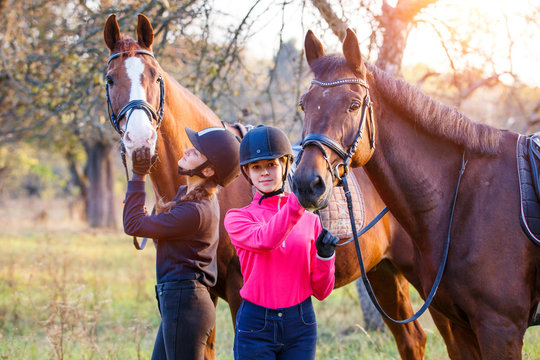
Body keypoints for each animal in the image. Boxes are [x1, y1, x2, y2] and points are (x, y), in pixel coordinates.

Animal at [104, 13, 438, 358]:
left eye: (155, 76)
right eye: (110, 79)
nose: (140, 142)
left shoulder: (239, 290)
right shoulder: (206, 292)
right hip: (383, 271)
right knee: (411, 338)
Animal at [294, 28, 540, 360]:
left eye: (354, 105)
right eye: (304, 104)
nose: (308, 183)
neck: (465, 200)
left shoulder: (501, 330)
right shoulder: (463, 327)